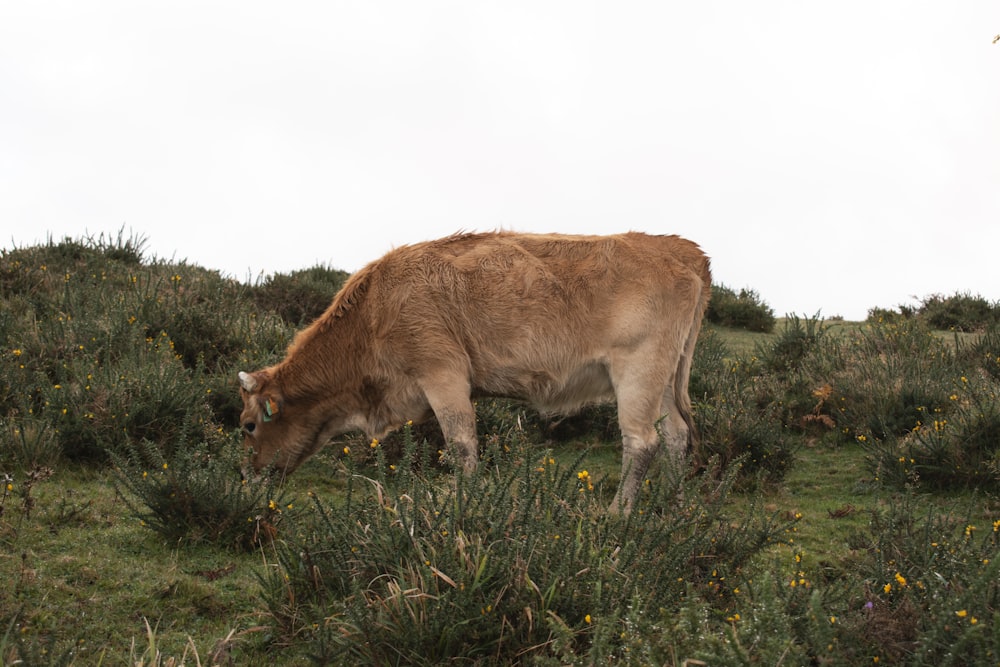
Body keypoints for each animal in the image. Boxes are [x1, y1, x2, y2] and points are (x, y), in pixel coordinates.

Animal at [237, 232, 712, 516]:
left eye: (247, 426)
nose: (249, 476)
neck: (374, 311)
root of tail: (681, 249)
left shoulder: (442, 373)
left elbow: (462, 444)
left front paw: (466, 503)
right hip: (665, 380)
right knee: (676, 437)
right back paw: (676, 510)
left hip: (638, 371)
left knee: (642, 442)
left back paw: (617, 514)